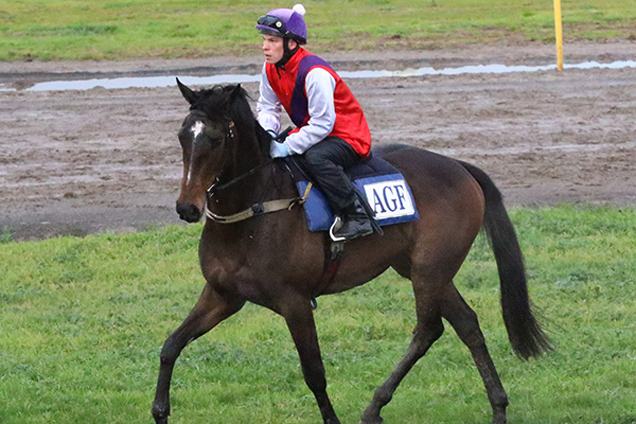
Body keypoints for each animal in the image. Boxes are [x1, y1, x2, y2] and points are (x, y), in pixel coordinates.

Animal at [152, 81, 548, 424]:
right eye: (182, 136)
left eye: (216, 139)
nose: (187, 207)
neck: (253, 211)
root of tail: (460, 166)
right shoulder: (223, 295)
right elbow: (170, 345)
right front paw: (160, 410)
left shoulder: (294, 302)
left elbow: (314, 373)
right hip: (423, 269)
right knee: (467, 324)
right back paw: (497, 406)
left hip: (430, 268)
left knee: (428, 329)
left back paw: (376, 404)